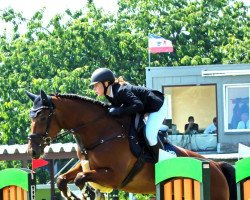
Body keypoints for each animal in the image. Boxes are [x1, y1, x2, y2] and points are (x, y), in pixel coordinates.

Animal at [26, 90, 236, 200]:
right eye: (31, 117)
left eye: (42, 117)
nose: (32, 150)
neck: (100, 132)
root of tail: (216, 166)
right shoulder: (86, 164)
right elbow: (62, 179)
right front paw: (73, 195)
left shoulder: (114, 175)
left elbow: (79, 178)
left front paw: (87, 193)